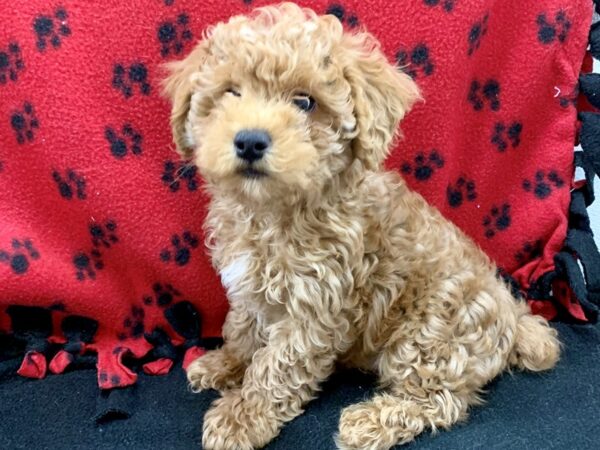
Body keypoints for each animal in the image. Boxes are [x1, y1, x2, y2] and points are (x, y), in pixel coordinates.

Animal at [162, 4, 560, 450]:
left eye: (305, 102)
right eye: (231, 93)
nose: (249, 140)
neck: (272, 211)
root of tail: (513, 318)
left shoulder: (315, 305)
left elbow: (278, 365)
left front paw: (241, 416)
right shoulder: (248, 288)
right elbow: (243, 328)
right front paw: (226, 363)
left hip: (431, 331)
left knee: (441, 400)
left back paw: (371, 420)